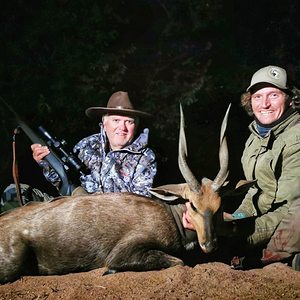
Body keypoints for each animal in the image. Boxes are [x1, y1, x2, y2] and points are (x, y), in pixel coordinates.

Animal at [0, 105, 253, 284]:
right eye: (192, 205)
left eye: (219, 206)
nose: (209, 245)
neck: (169, 214)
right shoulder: (124, 253)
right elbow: (178, 261)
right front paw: (109, 271)